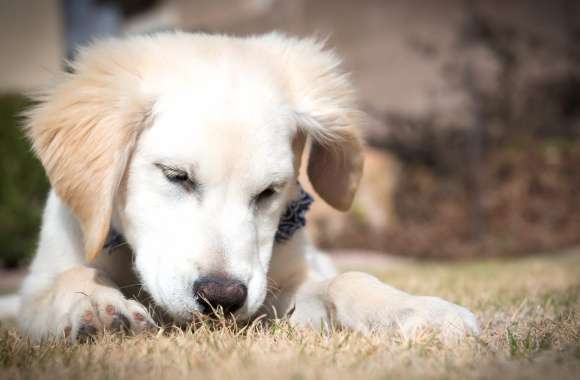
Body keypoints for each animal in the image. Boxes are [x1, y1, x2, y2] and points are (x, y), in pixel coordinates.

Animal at [14, 31, 480, 342]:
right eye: (175, 175)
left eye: (270, 191)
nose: (221, 297)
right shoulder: (37, 285)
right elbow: (68, 276)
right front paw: (96, 305)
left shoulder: (279, 288)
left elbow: (347, 280)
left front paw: (414, 308)